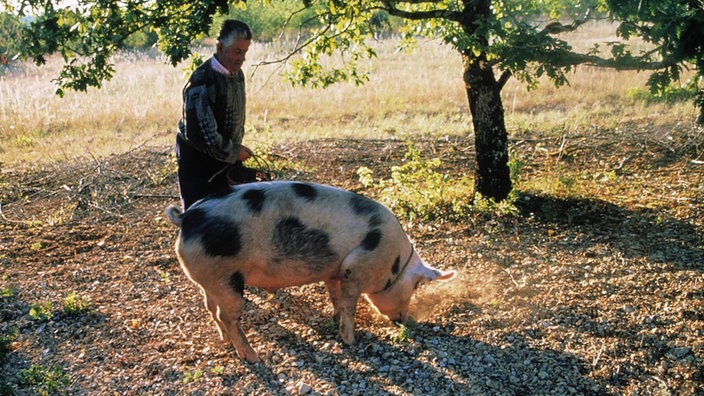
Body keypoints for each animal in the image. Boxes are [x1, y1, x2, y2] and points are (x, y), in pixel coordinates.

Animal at [167, 182, 456, 362]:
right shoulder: (355, 266)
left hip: (208, 280)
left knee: (210, 308)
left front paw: (333, 317)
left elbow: (335, 295)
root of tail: (186, 218)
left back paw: (225, 341)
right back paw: (253, 357)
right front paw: (351, 341)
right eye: (415, 286)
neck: (391, 259)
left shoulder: (335, 271)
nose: (407, 319)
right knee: (227, 316)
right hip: (226, 277)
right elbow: (350, 304)